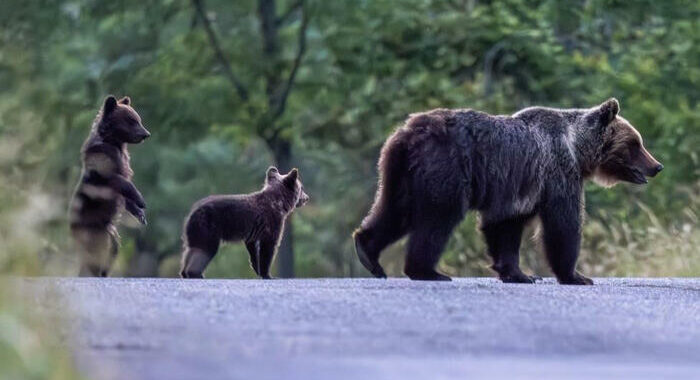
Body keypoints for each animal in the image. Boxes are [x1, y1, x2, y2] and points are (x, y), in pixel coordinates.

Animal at [69, 95, 150, 276]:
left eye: (138, 119)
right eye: (132, 121)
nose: (146, 134)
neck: (114, 142)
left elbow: (125, 194)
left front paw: (140, 213)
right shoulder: (103, 164)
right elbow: (120, 181)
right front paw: (141, 200)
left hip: (111, 237)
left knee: (110, 254)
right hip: (92, 231)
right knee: (94, 256)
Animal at [180, 166, 308, 280]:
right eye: (301, 188)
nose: (307, 198)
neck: (279, 204)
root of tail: (192, 212)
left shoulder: (253, 233)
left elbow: (253, 250)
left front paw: (258, 270)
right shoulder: (271, 225)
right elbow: (268, 249)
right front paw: (268, 274)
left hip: (195, 232)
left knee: (190, 250)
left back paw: (185, 273)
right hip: (208, 227)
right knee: (204, 250)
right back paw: (196, 274)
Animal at [356, 99, 660, 284]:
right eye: (635, 143)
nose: (657, 166)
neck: (577, 149)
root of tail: (408, 132)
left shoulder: (519, 190)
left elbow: (505, 227)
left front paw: (520, 274)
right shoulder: (557, 173)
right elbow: (562, 224)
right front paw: (576, 275)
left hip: (399, 173)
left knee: (394, 211)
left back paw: (368, 254)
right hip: (445, 168)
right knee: (437, 219)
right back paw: (428, 270)